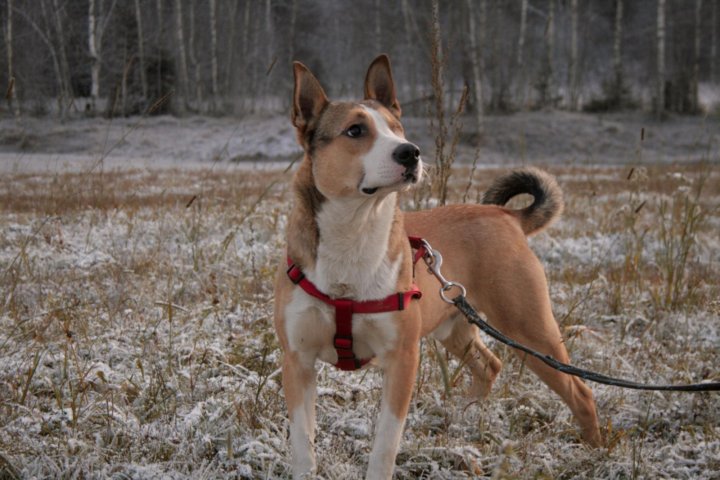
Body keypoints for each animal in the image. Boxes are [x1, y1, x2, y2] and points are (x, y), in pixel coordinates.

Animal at [272, 54, 600, 478]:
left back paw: (595, 452)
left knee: (581, 390)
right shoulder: (297, 362)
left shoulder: (402, 359)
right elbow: (302, 445)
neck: (353, 235)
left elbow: (385, 444)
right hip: (455, 325)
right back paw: (463, 418)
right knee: (489, 365)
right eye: (355, 130)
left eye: (397, 129)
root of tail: (505, 216)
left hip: (529, 330)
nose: (410, 152)